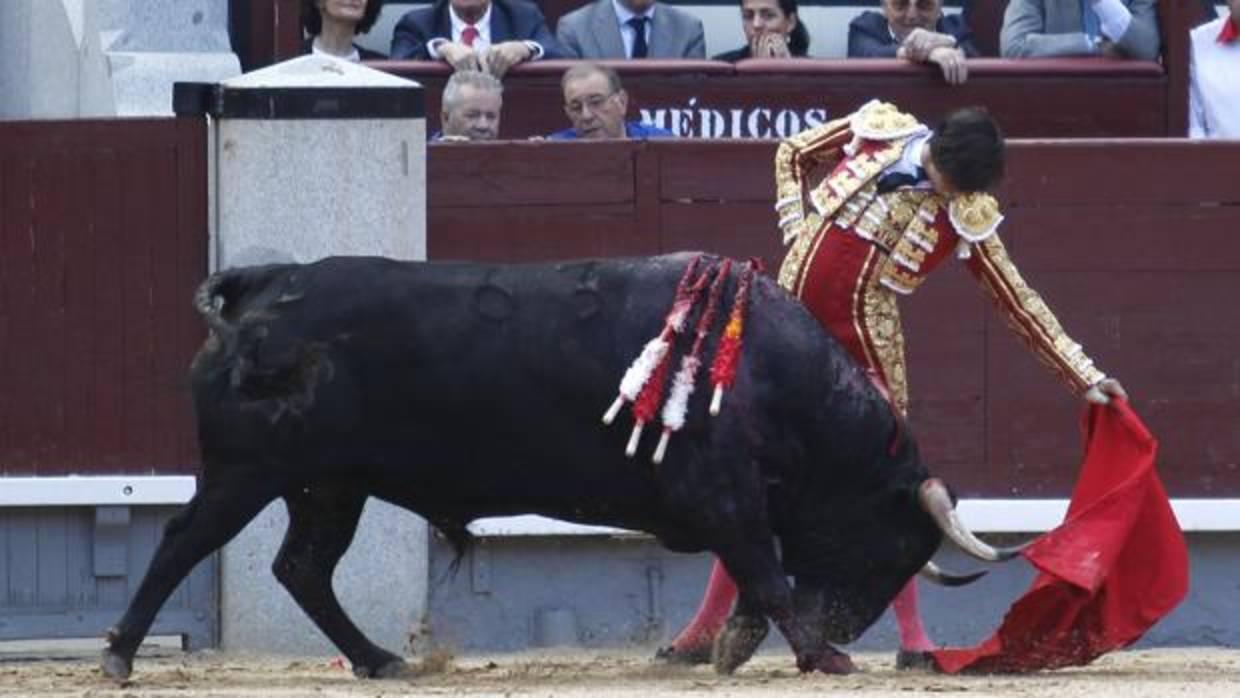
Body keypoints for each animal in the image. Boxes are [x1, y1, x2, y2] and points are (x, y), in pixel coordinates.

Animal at [104, 254, 977, 679]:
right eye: (897, 546)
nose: (849, 627)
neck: (765, 370)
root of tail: (260, 290)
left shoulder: (734, 507)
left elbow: (757, 580)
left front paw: (741, 650)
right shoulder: (726, 499)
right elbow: (765, 576)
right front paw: (822, 656)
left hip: (330, 486)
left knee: (303, 569)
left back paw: (382, 660)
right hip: (247, 471)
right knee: (185, 542)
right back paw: (118, 655)